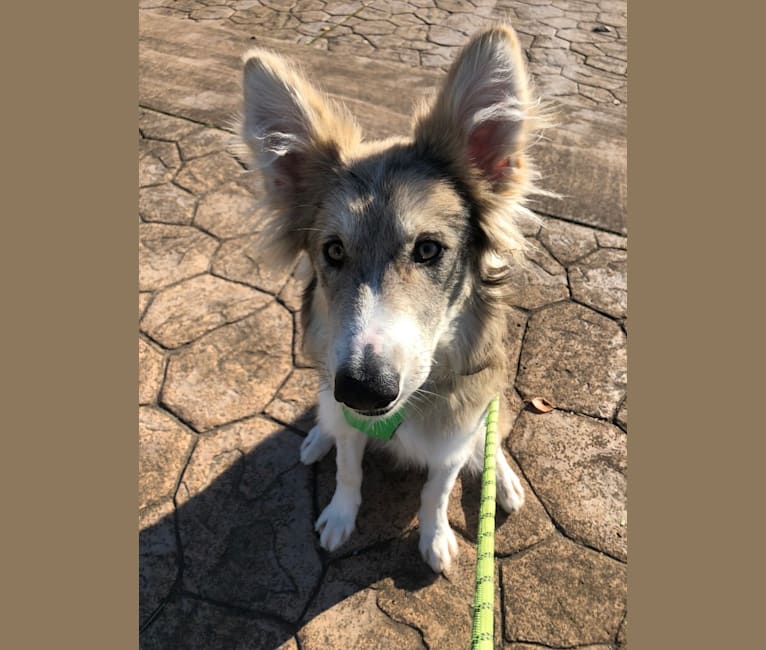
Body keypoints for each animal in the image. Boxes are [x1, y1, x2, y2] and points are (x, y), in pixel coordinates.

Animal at [237, 24, 548, 572]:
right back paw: (319, 435)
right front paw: (340, 515)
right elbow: (349, 469)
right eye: (333, 251)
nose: (364, 390)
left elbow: (436, 492)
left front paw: (435, 537)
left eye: (428, 249)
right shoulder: (348, 415)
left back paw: (504, 481)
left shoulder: (452, 439)